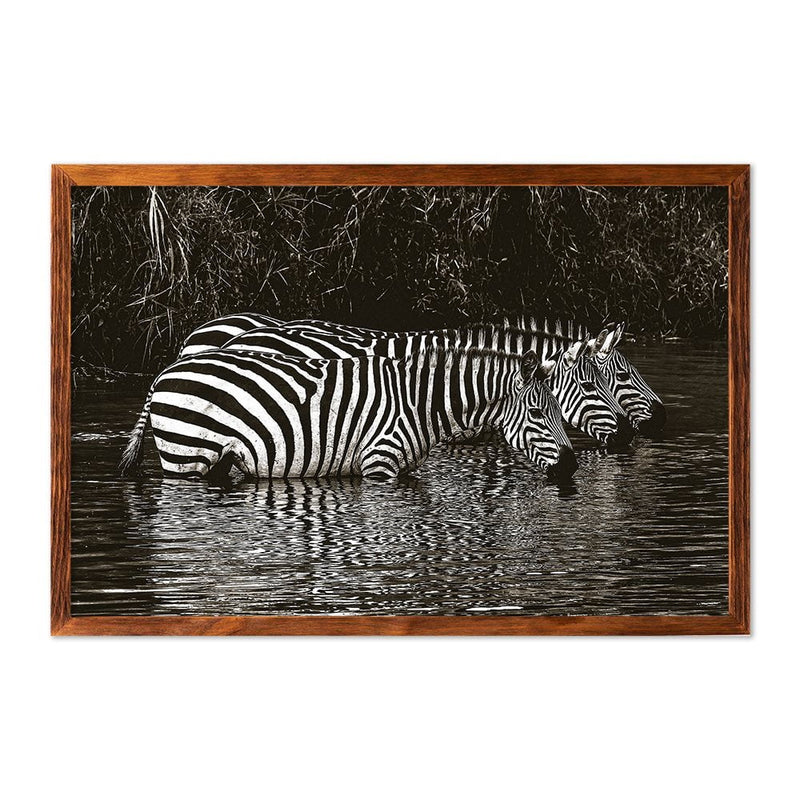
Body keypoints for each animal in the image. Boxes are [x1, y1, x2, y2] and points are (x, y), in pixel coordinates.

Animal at [119, 345, 577, 481]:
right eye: (537, 412)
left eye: (559, 409)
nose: (572, 466)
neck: (420, 403)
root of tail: (164, 373)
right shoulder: (379, 465)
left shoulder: (403, 470)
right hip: (186, 457)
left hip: (214, 462)